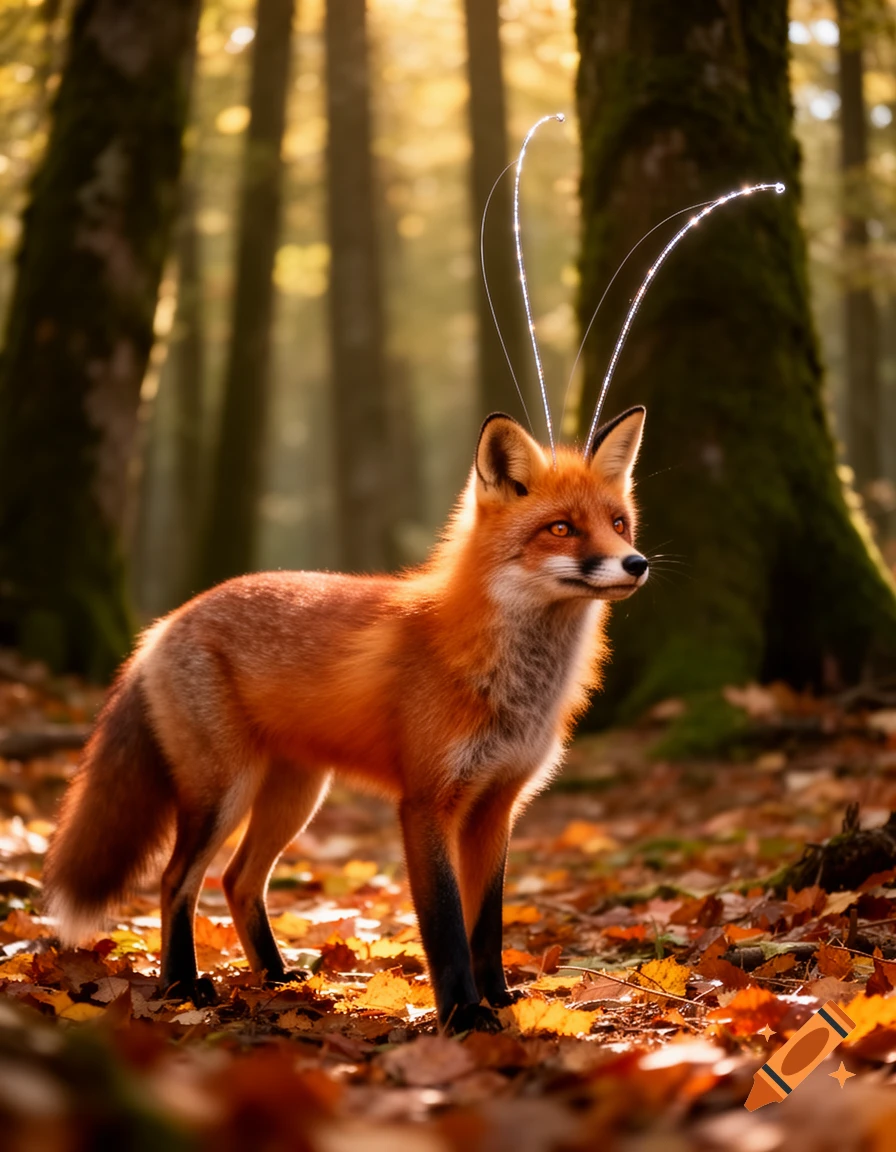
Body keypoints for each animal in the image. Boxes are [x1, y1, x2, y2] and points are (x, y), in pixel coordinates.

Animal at [43, 405, 648, 1033]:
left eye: (619, 523)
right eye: (561, 528)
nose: (637, 563)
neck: (511, 680)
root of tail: (164, 623)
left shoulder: (497, 806)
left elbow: (486, 923)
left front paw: (500, 999)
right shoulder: (425, 803)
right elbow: (446, 926)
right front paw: (462, 1013)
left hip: (295, 797)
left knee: (237, 880)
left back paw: (276, 977)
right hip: (222, 796)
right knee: (174, 880)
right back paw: (183, 985)